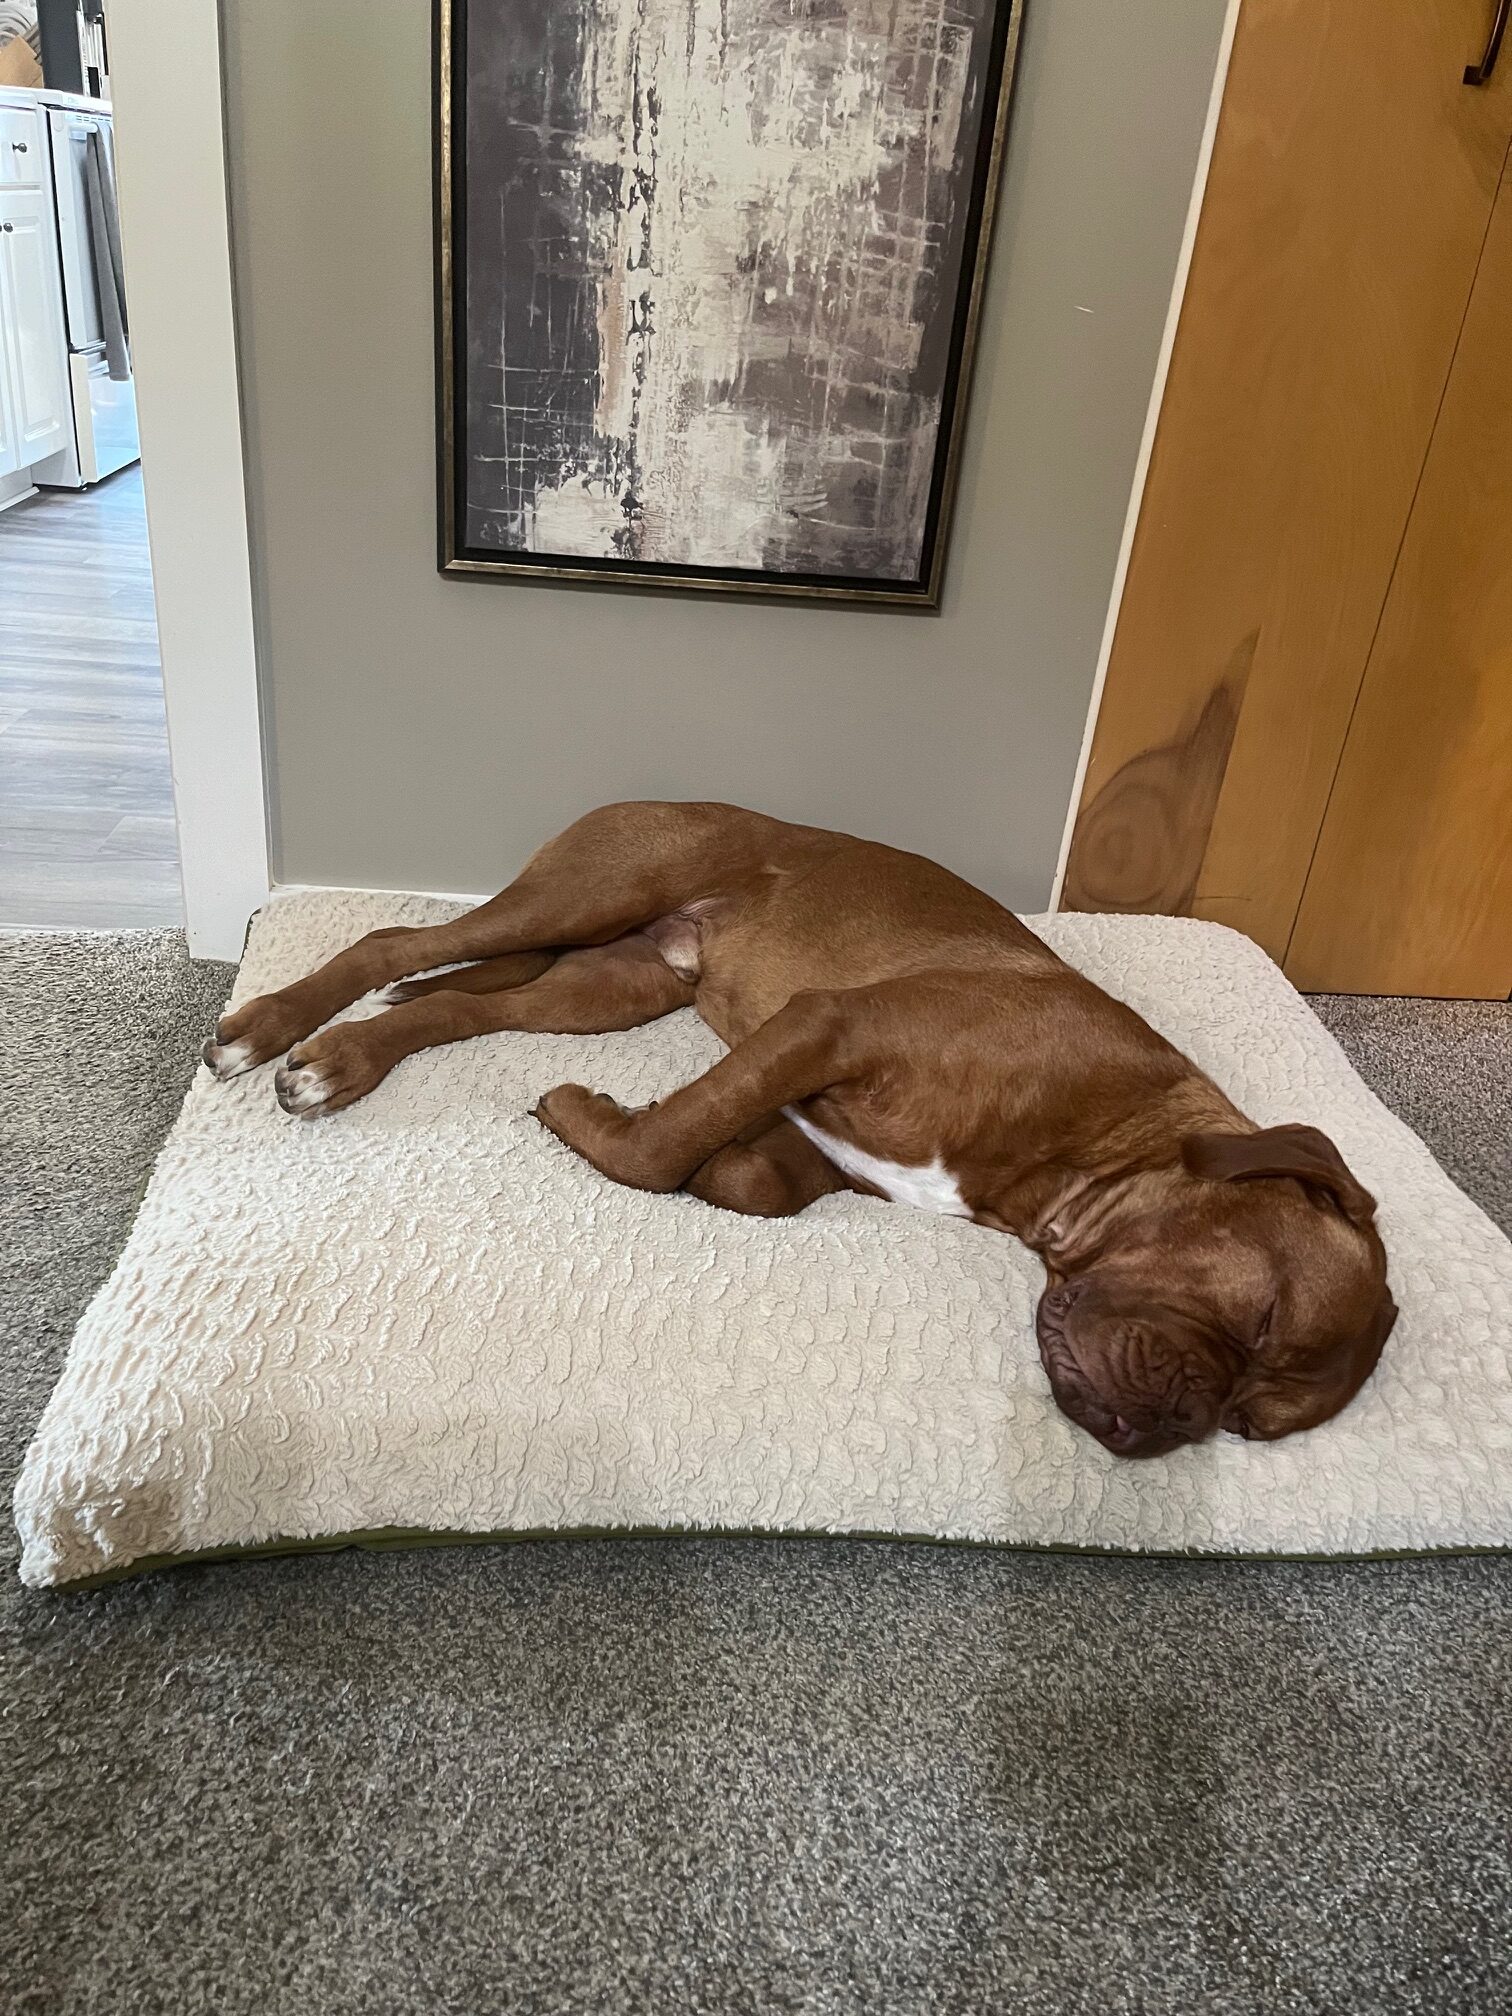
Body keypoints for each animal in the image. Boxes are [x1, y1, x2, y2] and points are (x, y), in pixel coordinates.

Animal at [203, 802, 1397, 1458]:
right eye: (1259, 1319)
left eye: (1247, 1423)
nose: (1170, 1430)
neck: (1103, 1140)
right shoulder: (826, 1026)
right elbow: (658, 1152)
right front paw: (605, 1121)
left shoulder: (816, 1127)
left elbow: (739, 1174)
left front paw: (670, 1141)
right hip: (585, 897)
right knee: (396, 943)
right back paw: (273, 1031)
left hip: (607, 984)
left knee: (458, 1006)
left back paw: (349, 1062)